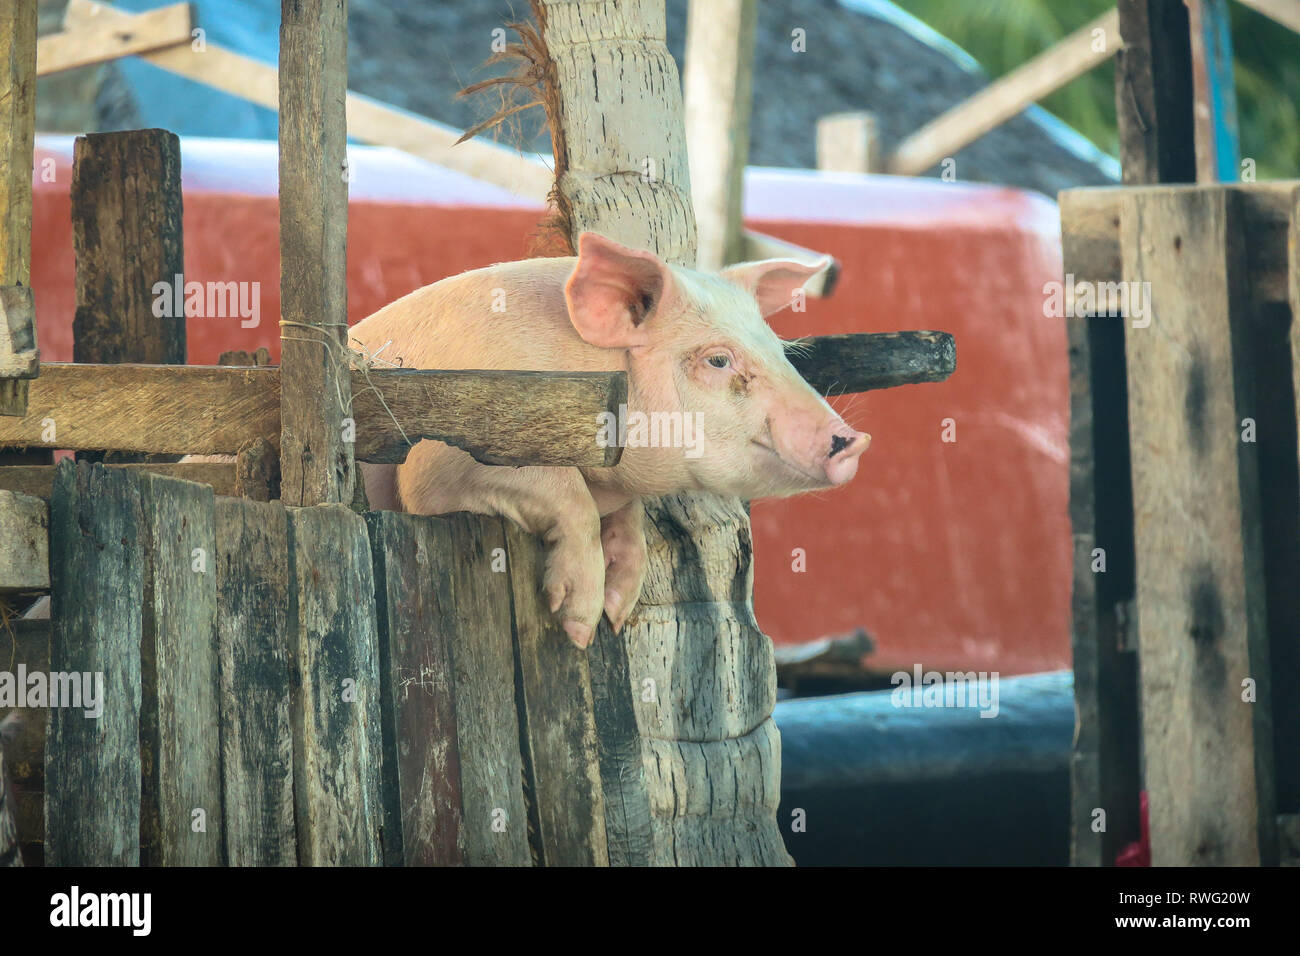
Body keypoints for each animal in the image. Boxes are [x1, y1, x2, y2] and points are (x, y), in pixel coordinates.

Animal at [350, 232, 869, 648]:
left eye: (782, 352)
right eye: (719, 360)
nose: (855, 440)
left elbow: (630, 520)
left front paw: (617, 613)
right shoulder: (441, 457)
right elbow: (567, 495)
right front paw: (578, 629)